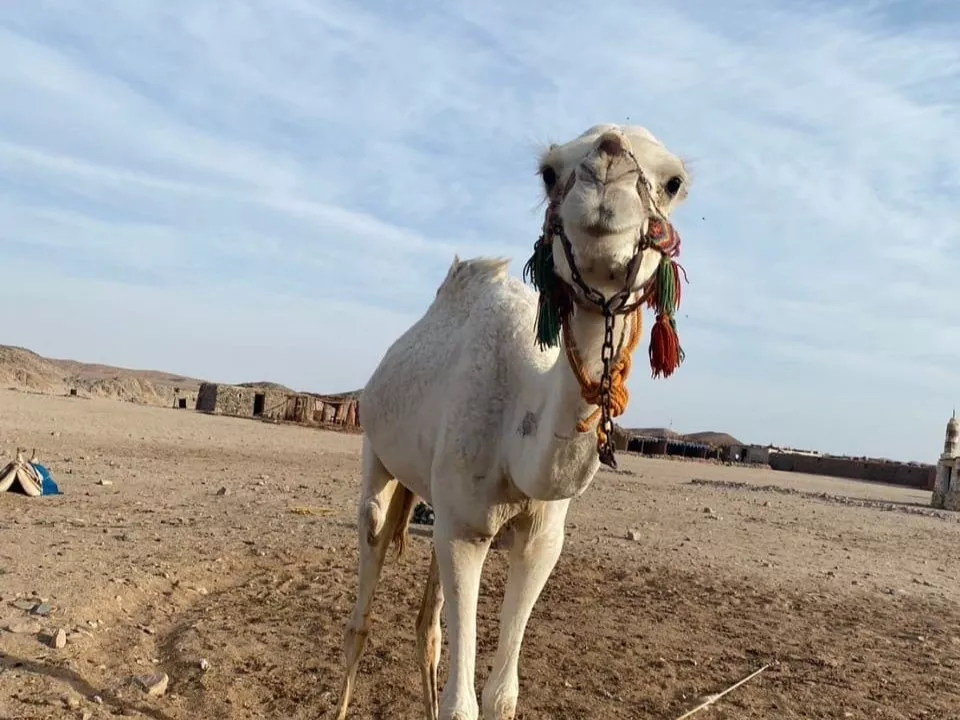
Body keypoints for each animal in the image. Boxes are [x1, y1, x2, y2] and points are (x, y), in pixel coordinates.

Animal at [336, 124, 688, 720]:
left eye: (674, 181)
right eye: (548, 171)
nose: (607, 167)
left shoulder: (540, 539)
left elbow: (501, 695)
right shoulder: (464, 532)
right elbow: (462, 704)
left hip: (435, 495)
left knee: (427, 627)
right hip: (377, 453)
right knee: (367, 579)